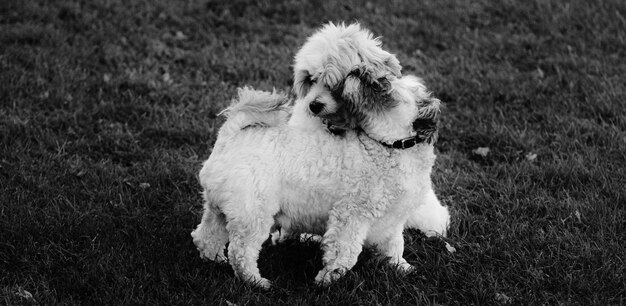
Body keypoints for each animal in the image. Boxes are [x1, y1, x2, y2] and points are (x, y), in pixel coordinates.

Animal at [193, 65, 442, 288]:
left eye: (382, 85)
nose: (357, 71)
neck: (387, 147)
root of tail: (230, 136)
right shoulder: (350, 216)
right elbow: (345, 253)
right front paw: (328, 279)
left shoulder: (393, 220)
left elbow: (395, 246)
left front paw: (401, 267)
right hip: (253, 214)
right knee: (241, 252)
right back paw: (256, 282)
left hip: (221, 209)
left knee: (206, 235)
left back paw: (214, 259)